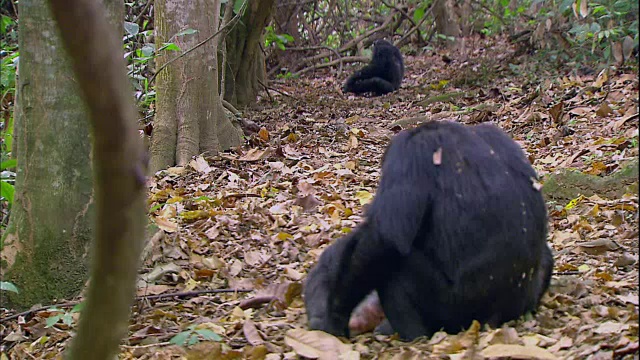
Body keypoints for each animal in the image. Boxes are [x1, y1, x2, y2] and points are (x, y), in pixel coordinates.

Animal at [302, 121, 552, 340]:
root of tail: (496, 320)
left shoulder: (408, 152)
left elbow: (385, 238)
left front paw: (333, 314)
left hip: (455, 312)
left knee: (397, 269)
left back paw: (408, 334)